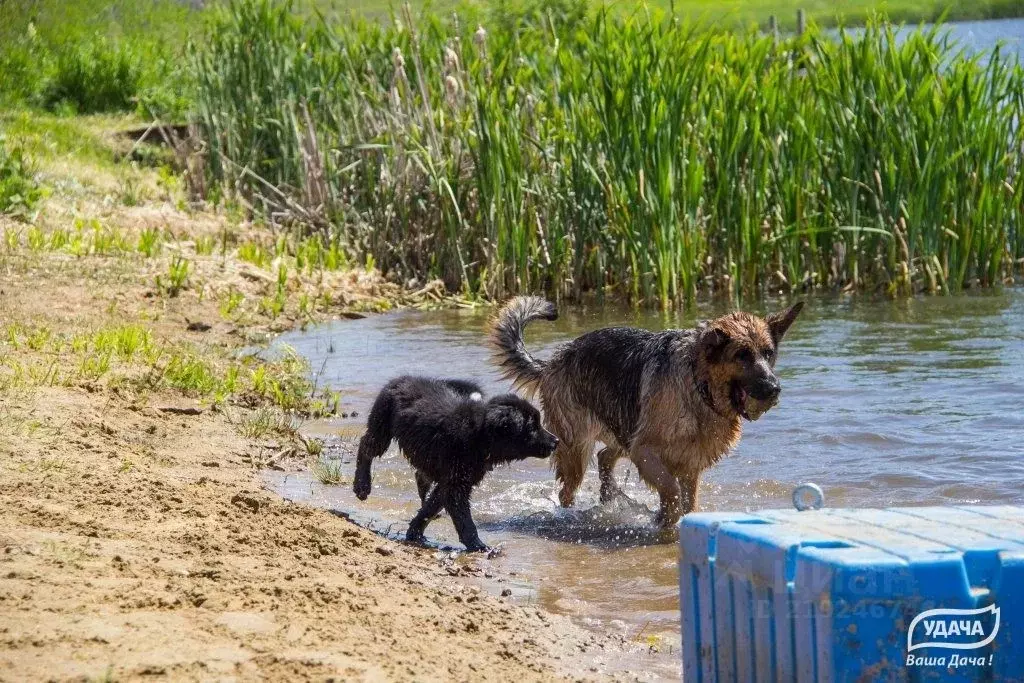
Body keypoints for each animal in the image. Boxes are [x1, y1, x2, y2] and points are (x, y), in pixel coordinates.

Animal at [354, 376, 561, 552]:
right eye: (532, 427)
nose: (556, 441)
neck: (480, 436)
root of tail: (400, 379)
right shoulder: (456, 485)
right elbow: (464, 520)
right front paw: (479, 546)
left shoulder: (451, 481)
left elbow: (429, 509)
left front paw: (415, 533)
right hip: (381, 425)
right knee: (365, 447)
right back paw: (362, 485)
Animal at [483, 296, 802, 528]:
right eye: (742, 356)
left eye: (768, 354)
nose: (774, 389)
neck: (697, 385)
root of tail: (552, 362)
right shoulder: (646, 452)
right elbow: (671, 491)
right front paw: (665, 521)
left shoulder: (690, 465)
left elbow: (688, 500)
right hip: (577, 448)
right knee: (568, 490)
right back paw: (571, 515)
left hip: (623, 430)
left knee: (605, 456)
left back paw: (608, 497)